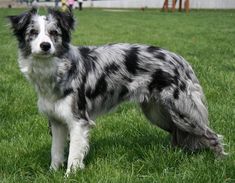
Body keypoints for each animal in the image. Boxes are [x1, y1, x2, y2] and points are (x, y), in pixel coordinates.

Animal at [8, 7, 227, 175]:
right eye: (33, 33)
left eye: (54, 33)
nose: (45, 46)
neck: (56, 69)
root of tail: (181, 59)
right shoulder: (57, 121)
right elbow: (56, 152)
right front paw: (52, 173)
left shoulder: (78, 121)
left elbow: (73, 155)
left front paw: (69, 175)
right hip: (157, 112)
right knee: (176, 133)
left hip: (183, 111)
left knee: (212, 135)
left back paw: (219, 163)